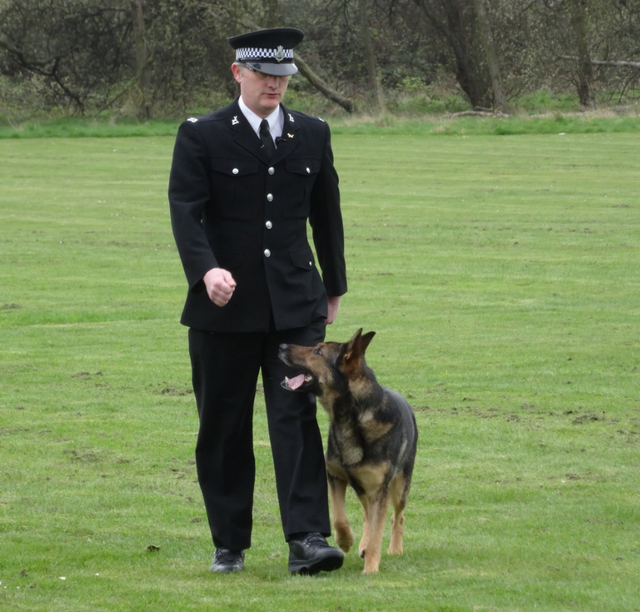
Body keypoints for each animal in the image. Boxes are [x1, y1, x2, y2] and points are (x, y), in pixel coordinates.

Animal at [278, 330, 418, 572]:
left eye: (318, 351)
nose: (281, 345)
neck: (352, 418)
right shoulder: (335, 477)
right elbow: (339, 518)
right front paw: (345, 541)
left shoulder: (379, 490)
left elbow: (377, 532)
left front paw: (370, 569)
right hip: (362, 488)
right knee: (366, 515)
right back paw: (362, 543)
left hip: (399, 487)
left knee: (396, 517)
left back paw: (394, 548)